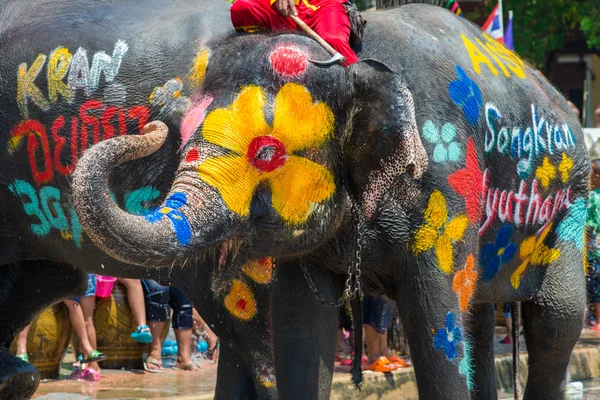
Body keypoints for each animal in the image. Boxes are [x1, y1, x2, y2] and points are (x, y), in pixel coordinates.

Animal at [72, 3, 588, 400]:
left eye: (266, 153)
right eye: (180, 142)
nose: (152, 125)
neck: (351, 64)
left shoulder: (447, 184)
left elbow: (437, 326)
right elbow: (300, 329)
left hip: (571, 207)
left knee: (554, 322)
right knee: (480, 315)